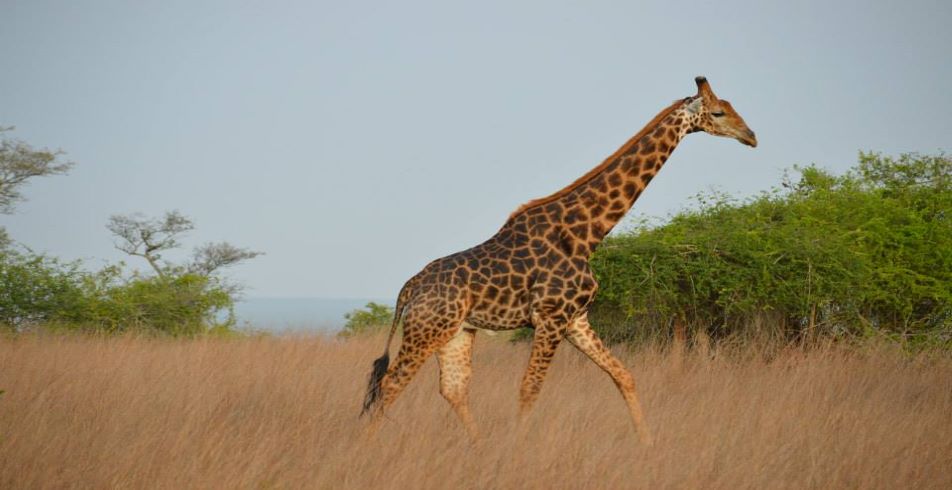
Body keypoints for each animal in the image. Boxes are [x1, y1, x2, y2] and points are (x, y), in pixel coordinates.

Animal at [361, 76, 756, 444]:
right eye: (718, 112)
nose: (751, 136)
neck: (586, 234)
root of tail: (409, 287)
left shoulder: (576, 319)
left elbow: (623, 375)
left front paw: (647, 443)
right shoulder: (550, 317)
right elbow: (530, 389)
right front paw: (516, 450)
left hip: (456, 332)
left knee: (452, 389)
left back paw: (478, 446)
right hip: (426, 330)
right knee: (389, 386)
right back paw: (370, 447)